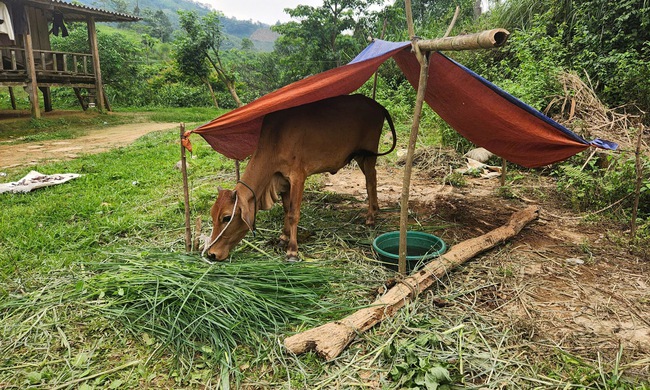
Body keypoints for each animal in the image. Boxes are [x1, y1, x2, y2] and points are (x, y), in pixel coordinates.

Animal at [204, 93, 394, 260]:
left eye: (226, 217)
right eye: (212, 215)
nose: (211, 253)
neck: (276, 137)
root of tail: (378, 105)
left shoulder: (298, 177)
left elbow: (293, 213)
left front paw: (292, 251)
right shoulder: (282, 179)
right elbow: (286, 209)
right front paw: (283, 237)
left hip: (369, 154)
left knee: (370, 181)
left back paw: (370, 217)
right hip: (361, 156)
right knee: (373, 178)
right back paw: (375, 210)